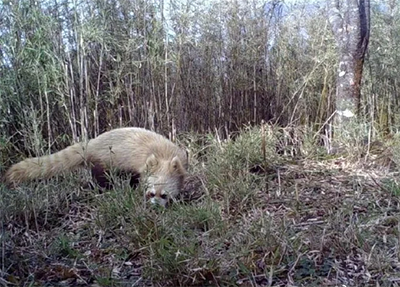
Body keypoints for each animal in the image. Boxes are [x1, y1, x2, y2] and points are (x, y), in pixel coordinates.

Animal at [4, 128, 189, 207]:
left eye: (164, 195)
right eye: (151, 193)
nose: (154, 205)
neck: (163, 154)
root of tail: (91, 143)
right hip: (103, 165)